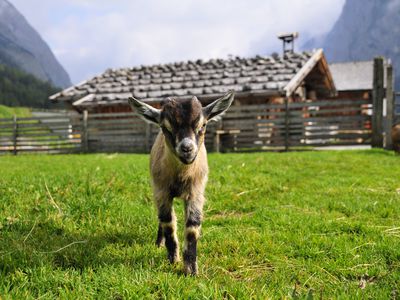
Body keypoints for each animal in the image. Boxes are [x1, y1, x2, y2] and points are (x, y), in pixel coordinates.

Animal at [128, 91, 234, 274]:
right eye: (165, 127)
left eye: (203, 124)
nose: (187, 149)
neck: (180, 177)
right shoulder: (162, 191)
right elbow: (168, 222)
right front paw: (173, 260)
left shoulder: (196, 192)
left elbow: (192, 226)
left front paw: (191, 270)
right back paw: (159, 242)